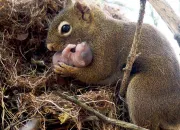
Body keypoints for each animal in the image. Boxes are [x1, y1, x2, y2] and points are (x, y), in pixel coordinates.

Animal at [46, 0, 180, 129]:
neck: (97, 30)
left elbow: (97, 72)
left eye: (65, 28)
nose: (49, 46)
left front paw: (67, 70)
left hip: (142, 91)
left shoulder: (106, 47)